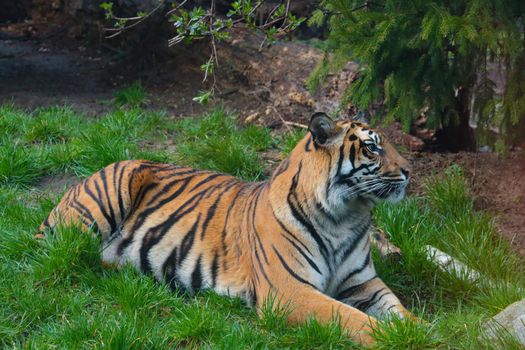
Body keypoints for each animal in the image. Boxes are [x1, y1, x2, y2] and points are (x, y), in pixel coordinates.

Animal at [41, 113, 416, 348]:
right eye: (372, 147)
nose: (410, 171)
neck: (345, 216)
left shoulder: (364, 283)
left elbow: (401, 312)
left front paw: (420, 331)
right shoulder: (289, 292)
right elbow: (349, 317)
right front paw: (392, 339)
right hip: (106, 197)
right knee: (58, 256)